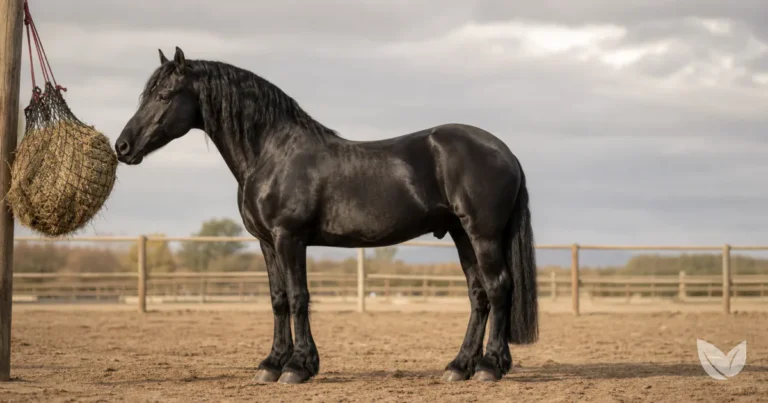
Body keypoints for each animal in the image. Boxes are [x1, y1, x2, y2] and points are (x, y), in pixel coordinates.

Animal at [115, 47, 538, 384]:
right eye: (144, 95)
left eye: (165, 95)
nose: (123, 146)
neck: (272, 153)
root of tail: (505, 152)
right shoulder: (267, 242)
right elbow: (278, 299)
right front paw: (271, 364)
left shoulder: (290, 237)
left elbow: (299, 297)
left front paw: (298, 367)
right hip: (461, 234)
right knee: (479, 295)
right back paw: (459, 366)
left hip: (481, 234)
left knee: (499, 288)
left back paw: (490, 367)